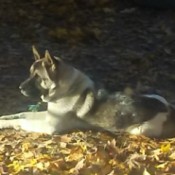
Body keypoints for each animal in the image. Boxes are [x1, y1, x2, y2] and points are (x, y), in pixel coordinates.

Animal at [0, 46, 175, 138]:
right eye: (30, 74)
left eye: (37, 77)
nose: (20, 88)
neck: (66, 90)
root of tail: (168, 109)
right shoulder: (48, 116)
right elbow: (23, 114)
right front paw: (5, 117)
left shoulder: (49, 126)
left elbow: (22, 121)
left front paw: (6, 124)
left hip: (140, 130)